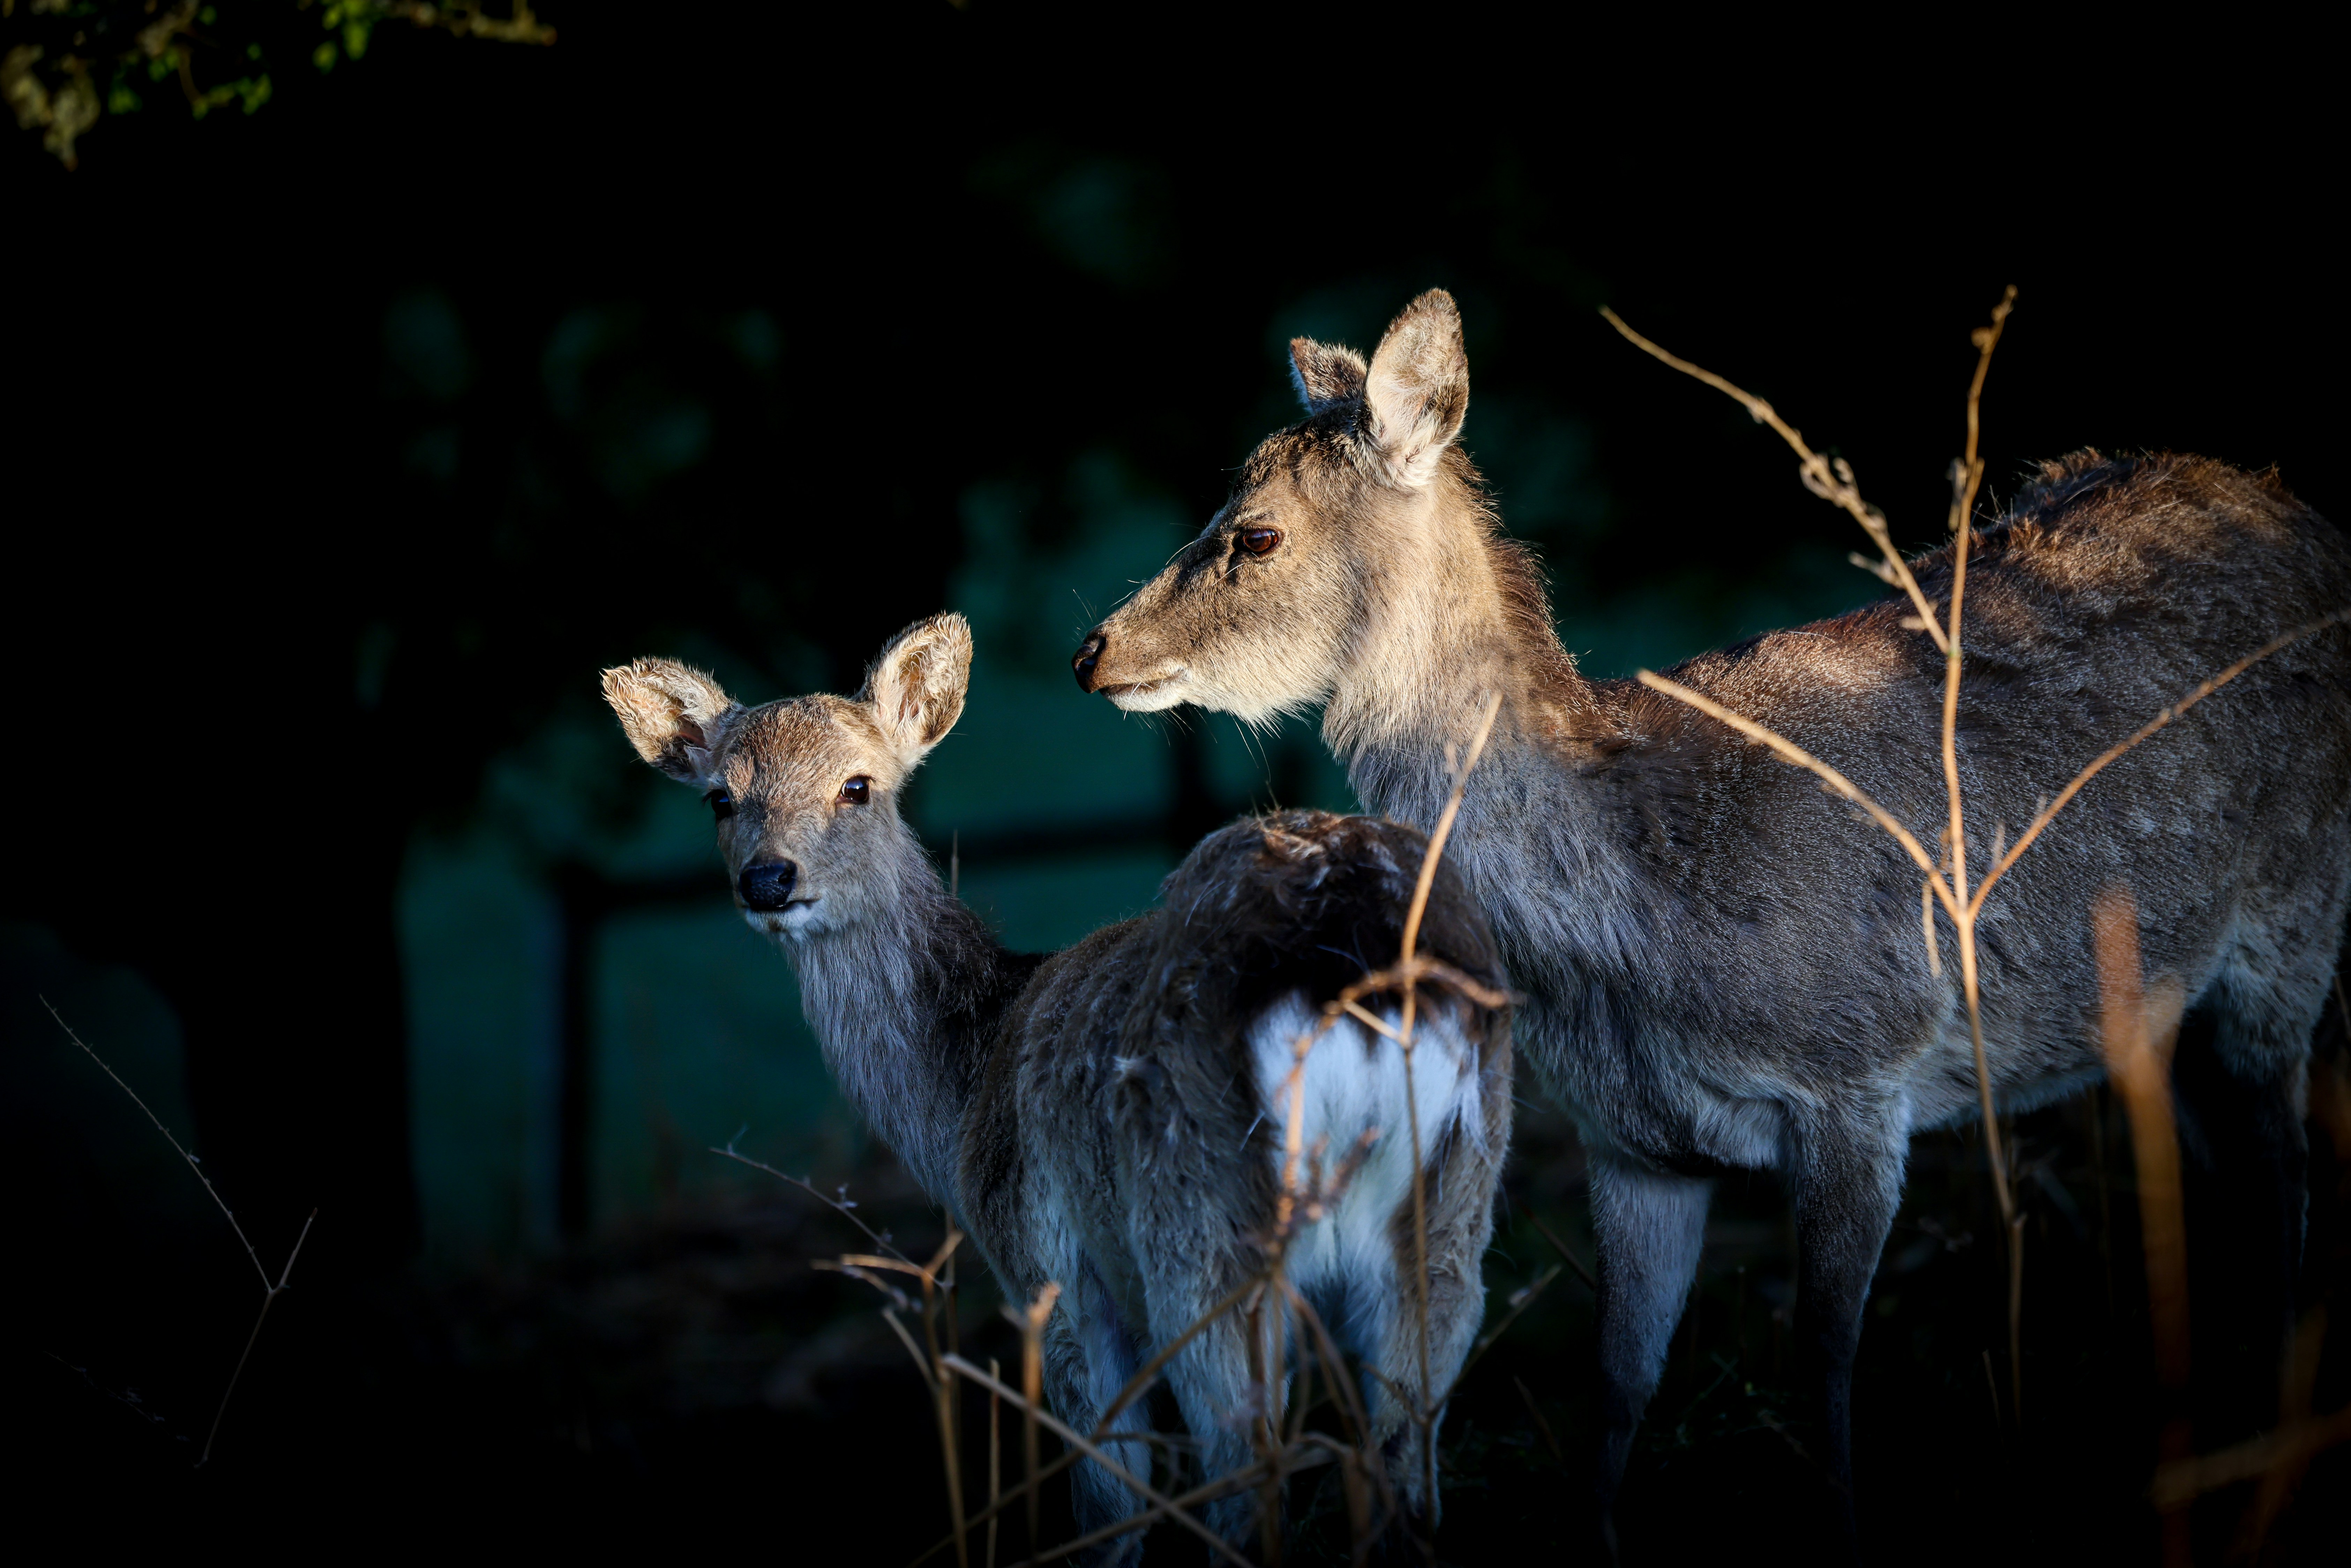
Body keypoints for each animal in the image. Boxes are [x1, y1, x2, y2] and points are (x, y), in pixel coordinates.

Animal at [602, 612, 1513, 1560]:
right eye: (719, 798)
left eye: (858, 785)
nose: (768, 879)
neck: (965, 1089)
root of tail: (1348, 970)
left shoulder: (1046, 1264)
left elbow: (1111, 1494)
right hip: (1454, 1219)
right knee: (1406, 1455)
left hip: (1199, 1236)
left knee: (1243, 1470)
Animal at [1070, 288, 2351, 1538]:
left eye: (1256, 531)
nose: (1096, 651)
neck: (1651, 925)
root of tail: (2305, 517)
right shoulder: (1631, 1141)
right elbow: (1614, 1392)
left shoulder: (1862, 1077)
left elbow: (1820, 1371)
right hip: (2164, 1011)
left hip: (2293, 925)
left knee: (2289, 1182)